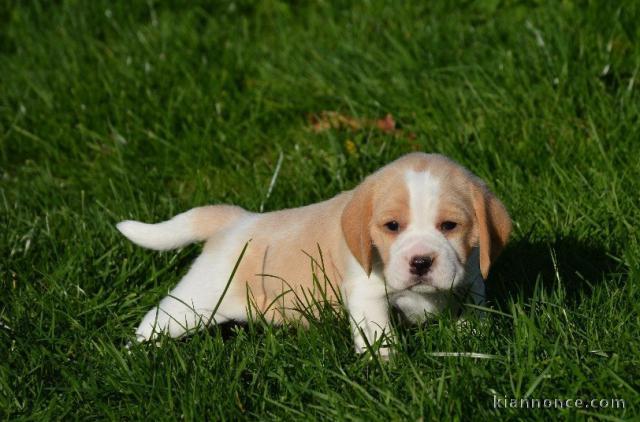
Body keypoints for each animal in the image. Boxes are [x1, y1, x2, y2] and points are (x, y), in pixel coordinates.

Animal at [117, 153, 512, 354]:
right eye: (392, 226)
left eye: (449, 225)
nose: (421, 261)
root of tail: (237, 220)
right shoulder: (367, 296)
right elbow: (379, 336)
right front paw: (387, 370)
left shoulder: (472, 280)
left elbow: (474, 315)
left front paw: (472, 340)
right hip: (196, 303)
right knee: (155, 319)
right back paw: (135, 352)